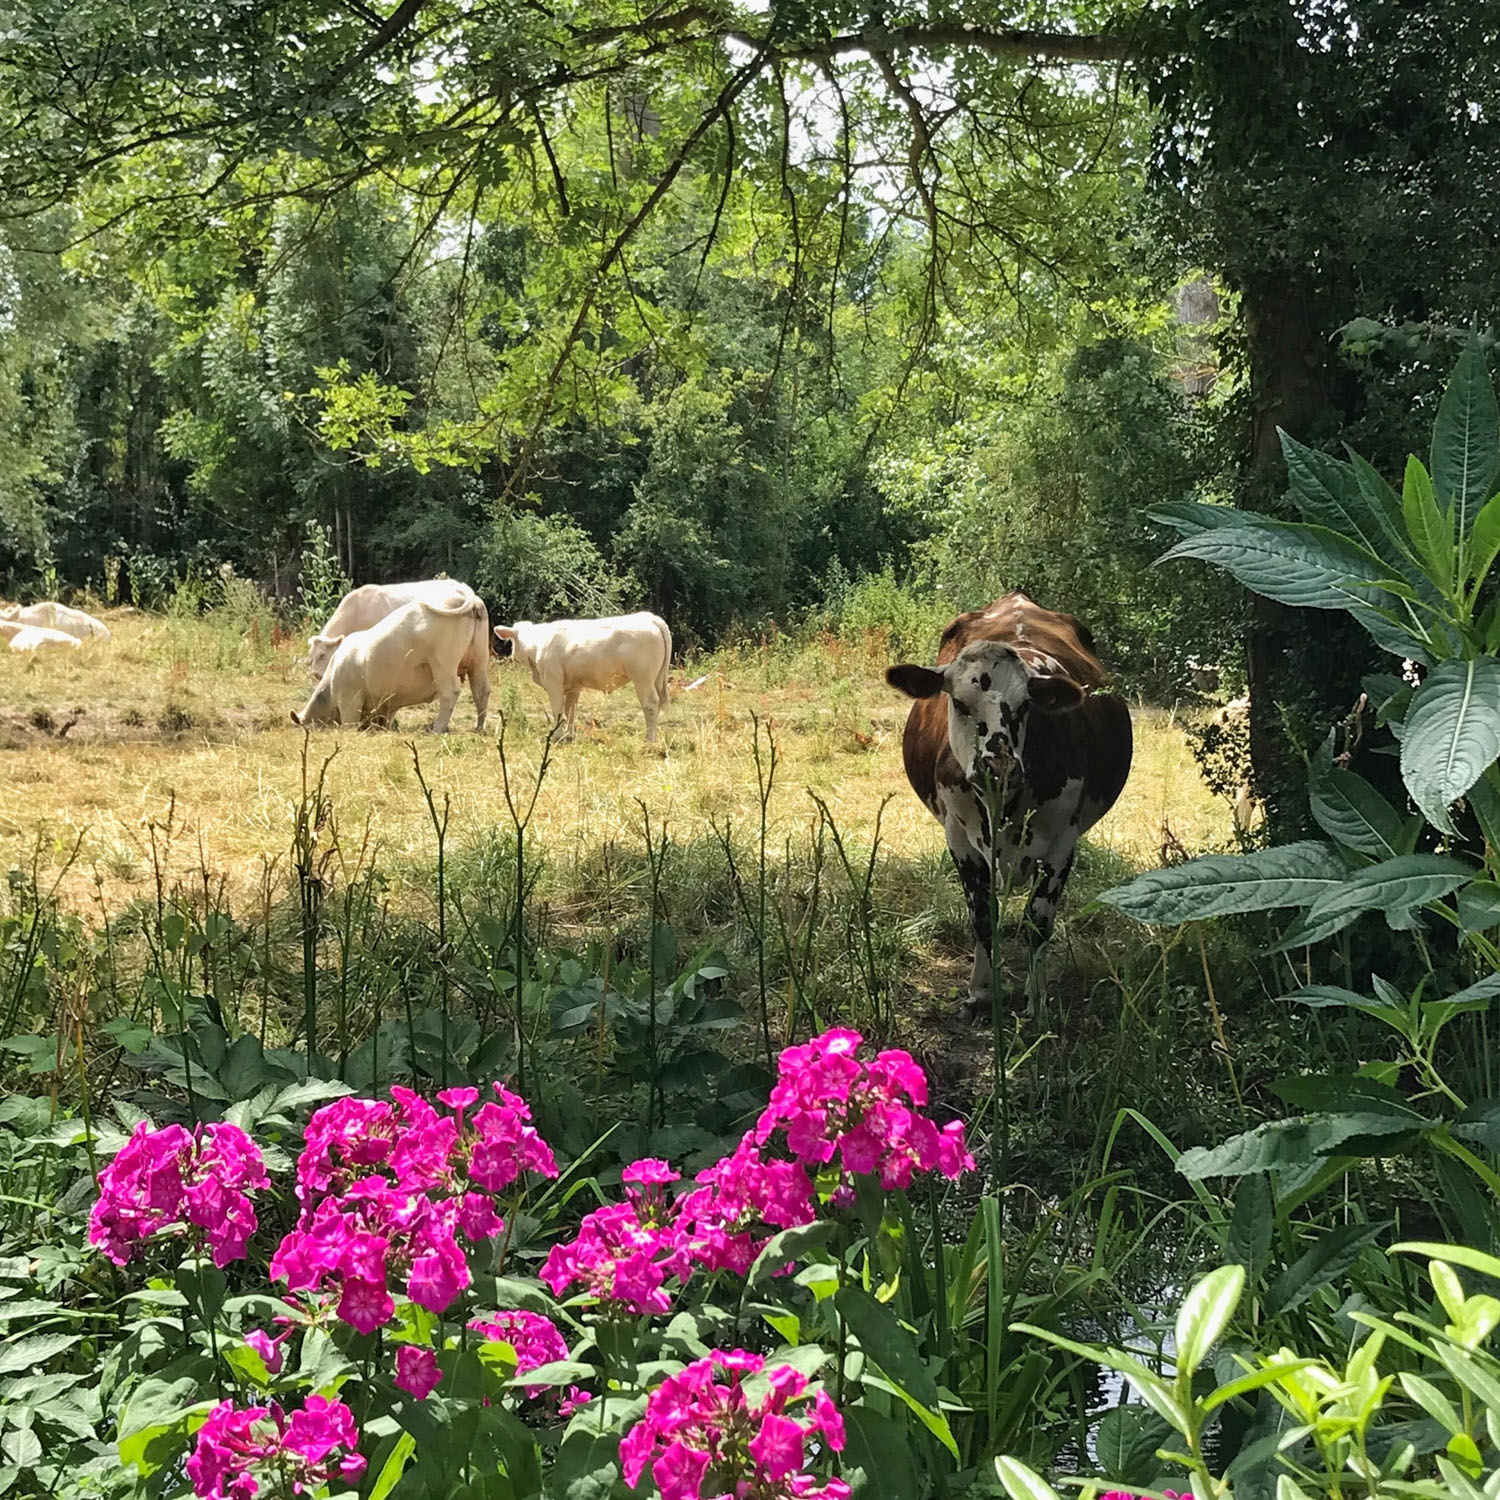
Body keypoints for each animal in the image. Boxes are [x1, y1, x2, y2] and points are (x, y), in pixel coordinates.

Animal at [306, 579, 489, 732]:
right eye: (311, 657)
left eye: (322, 655)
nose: (315, 674)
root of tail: (465, 592)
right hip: (479, 659)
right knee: (481, 691)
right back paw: (479, 727)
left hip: (443, 663)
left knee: (450, 692)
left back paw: (437, 728)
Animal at [495, 612, 672, 741]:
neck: (537, 645)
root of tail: (650, 617)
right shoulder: (573, 686)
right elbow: (570, 711)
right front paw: (569, 735)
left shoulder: (553, 682)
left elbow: (557, 710)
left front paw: (557, 736)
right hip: (656, 680)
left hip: (643, 679)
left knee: (650, 705)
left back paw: (649, 739)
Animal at [888, 591, 1128, 1014]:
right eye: (960, 704)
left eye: (1024, 705)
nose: (996, 763)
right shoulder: (959, 838)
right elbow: (983, 916)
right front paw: (982, 992)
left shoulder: (1063, 839)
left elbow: (1038, 920)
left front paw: (1037, 999)